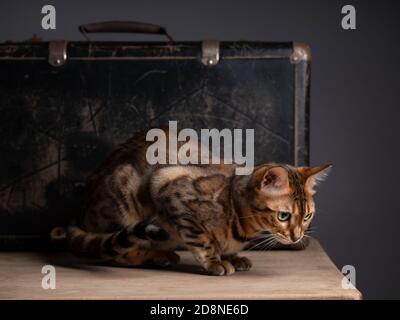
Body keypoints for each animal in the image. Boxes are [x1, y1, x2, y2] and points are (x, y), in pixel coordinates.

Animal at [51, 129, 330, 276]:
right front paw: (216, 261)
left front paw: (233, 256)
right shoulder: (170, 189)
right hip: (124, 192)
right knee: (118, 254)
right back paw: (159, 256)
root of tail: (78, 212)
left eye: (307, 216)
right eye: (283, 216)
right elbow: (202, 239)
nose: (296, 237)